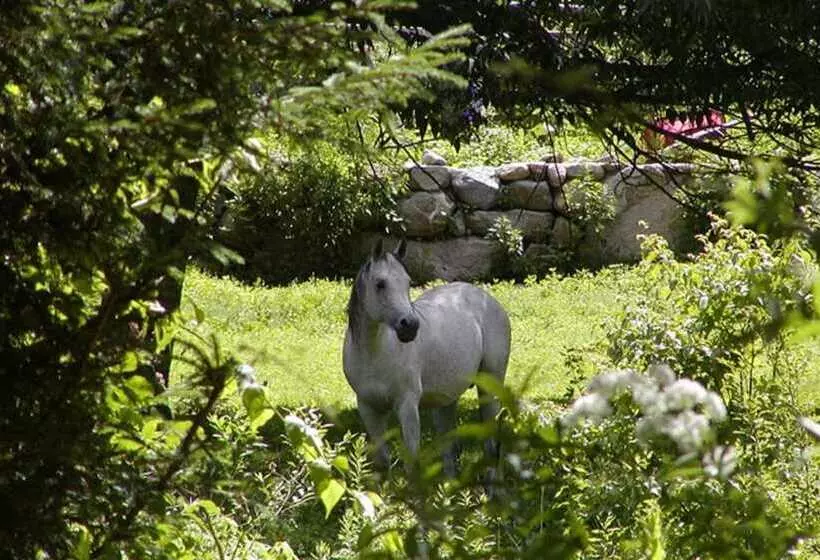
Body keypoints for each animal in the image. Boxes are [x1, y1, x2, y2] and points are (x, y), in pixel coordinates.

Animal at [342, 239, 511, 479]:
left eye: (408, 282)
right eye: (380, 284)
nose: (410, 326)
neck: (374, 355)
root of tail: (487, 299)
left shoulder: (407, 405)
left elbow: (412, 464)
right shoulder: (368, 408)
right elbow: (383, 462)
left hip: (490, 386)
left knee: (491, 444)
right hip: (447, 400)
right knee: (449, 449)